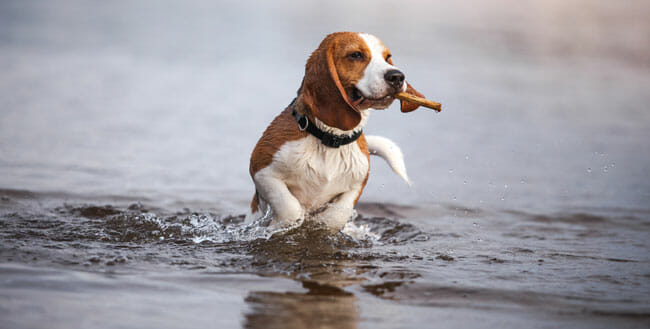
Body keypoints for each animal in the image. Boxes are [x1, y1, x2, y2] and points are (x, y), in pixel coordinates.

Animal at [248, 30, 426, 231]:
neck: (331, 138)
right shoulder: (261, 170)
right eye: (356, 55)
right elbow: (290, 207)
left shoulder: (357, 184)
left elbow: (337, 214)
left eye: (387, 57)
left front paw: (320, 224)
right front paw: (282, 224)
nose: (397, 76)